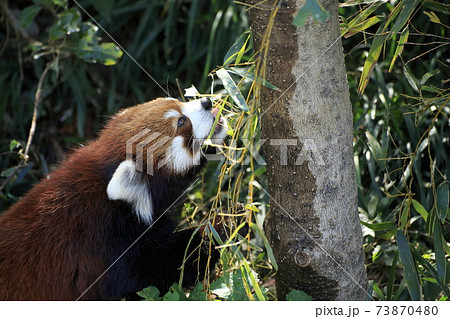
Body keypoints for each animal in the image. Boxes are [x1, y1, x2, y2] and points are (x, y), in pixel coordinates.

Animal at [0, 97, 227, 300]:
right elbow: (167, 269)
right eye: (181, 122)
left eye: (179, 101)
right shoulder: (110, 240)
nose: (207, 102)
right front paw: (222, 225)